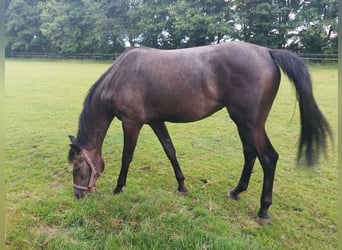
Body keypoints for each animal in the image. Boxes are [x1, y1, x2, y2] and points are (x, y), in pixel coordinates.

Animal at [67, 42, 332, 224]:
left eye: (78, 168)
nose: (77, 196)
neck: (121, 76)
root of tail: (267, 52)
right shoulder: (156, 121)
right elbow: (170, 151)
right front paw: (182, 186)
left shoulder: (132, 123)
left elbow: (127, 157)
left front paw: (119, 188)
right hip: (243, 124)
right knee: (250, 154)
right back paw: (236, 191)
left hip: (250, 124)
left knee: (268, 158)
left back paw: (263, 210)